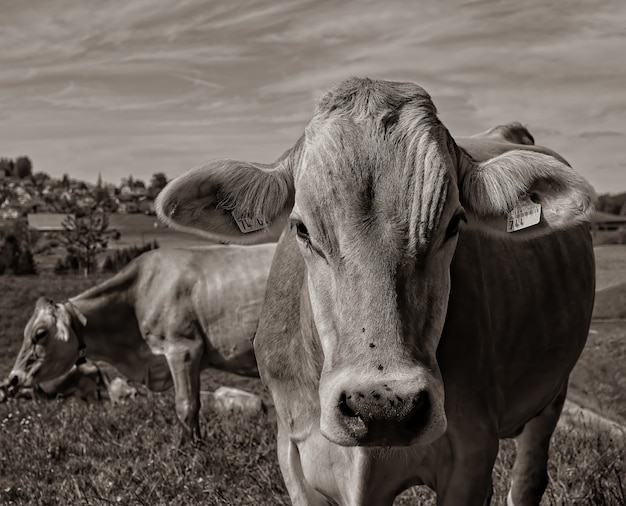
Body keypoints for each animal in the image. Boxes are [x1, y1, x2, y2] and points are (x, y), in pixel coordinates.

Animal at [4, 245, 272, 442]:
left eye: (39, 333)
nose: (13, 378)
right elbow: (194, 403)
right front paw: (197, 443)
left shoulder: (182, 349)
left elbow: (185, 405)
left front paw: (189, 451)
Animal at [156, 77, 596, 504]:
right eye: (301, 228)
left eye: (454, 223)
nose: (384, 408)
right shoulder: (294, 452)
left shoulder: (471, 453)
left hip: (552, 393)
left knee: (528, 478)